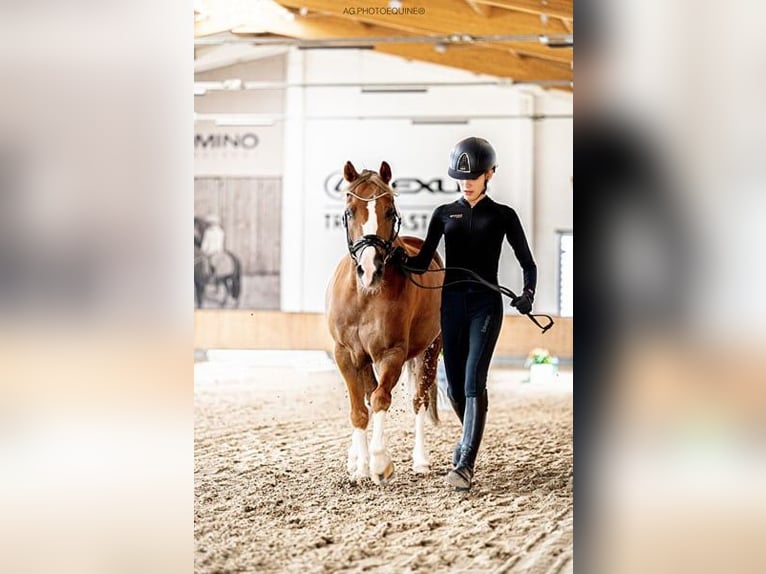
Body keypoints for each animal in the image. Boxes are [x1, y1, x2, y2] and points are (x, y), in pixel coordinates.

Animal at [326, 160, 444, 484]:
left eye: (390, 210)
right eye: (349, 211)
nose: (370, 269)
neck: (365, 295)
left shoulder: (391, 354)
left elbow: (381, 399)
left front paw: (380, 463)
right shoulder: (346, 355)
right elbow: (359, 410)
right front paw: (361, 468)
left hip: (429, 352)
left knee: (418, 400)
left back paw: (420, 461)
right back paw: (356, 459)